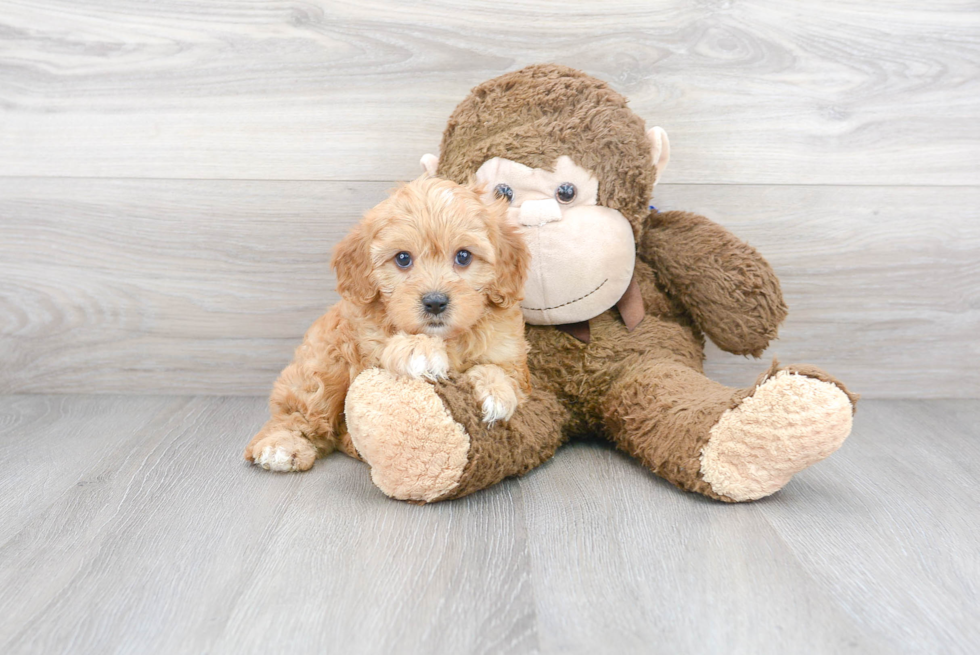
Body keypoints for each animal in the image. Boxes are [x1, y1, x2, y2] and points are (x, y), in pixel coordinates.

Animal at [247, 176, 536, 472]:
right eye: (403, 258)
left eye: (464, 256)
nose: (435, 302)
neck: (447, 337)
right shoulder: (366, 348)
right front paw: (420, 350)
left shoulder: (512, 358)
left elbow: (501, 372)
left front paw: (496, 391)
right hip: (323, 367)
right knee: (299, 412)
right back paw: (281, 446)